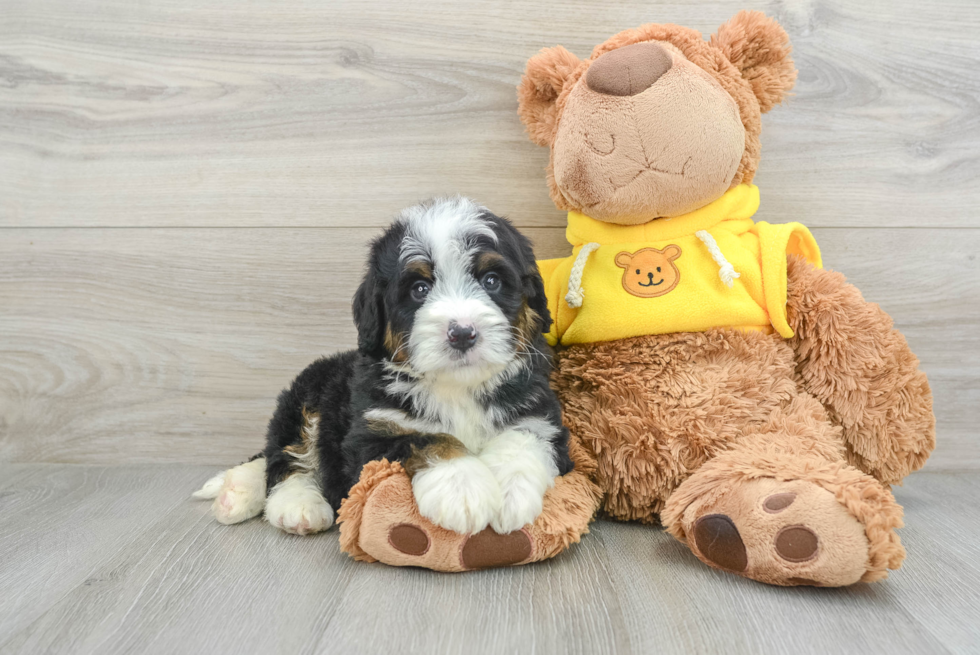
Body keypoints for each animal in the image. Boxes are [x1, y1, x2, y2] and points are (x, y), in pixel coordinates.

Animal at [193, 199, 576, 540]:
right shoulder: (370, 436)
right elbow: (429, 438)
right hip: (307, 397)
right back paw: (293, 505)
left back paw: (236, 493)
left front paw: (512, 494)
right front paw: (463, 488)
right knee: (284, 459)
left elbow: (522, 439)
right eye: (420, 288)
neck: (456, 388)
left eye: (492, 281)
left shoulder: (539, 414)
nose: (462, 333)